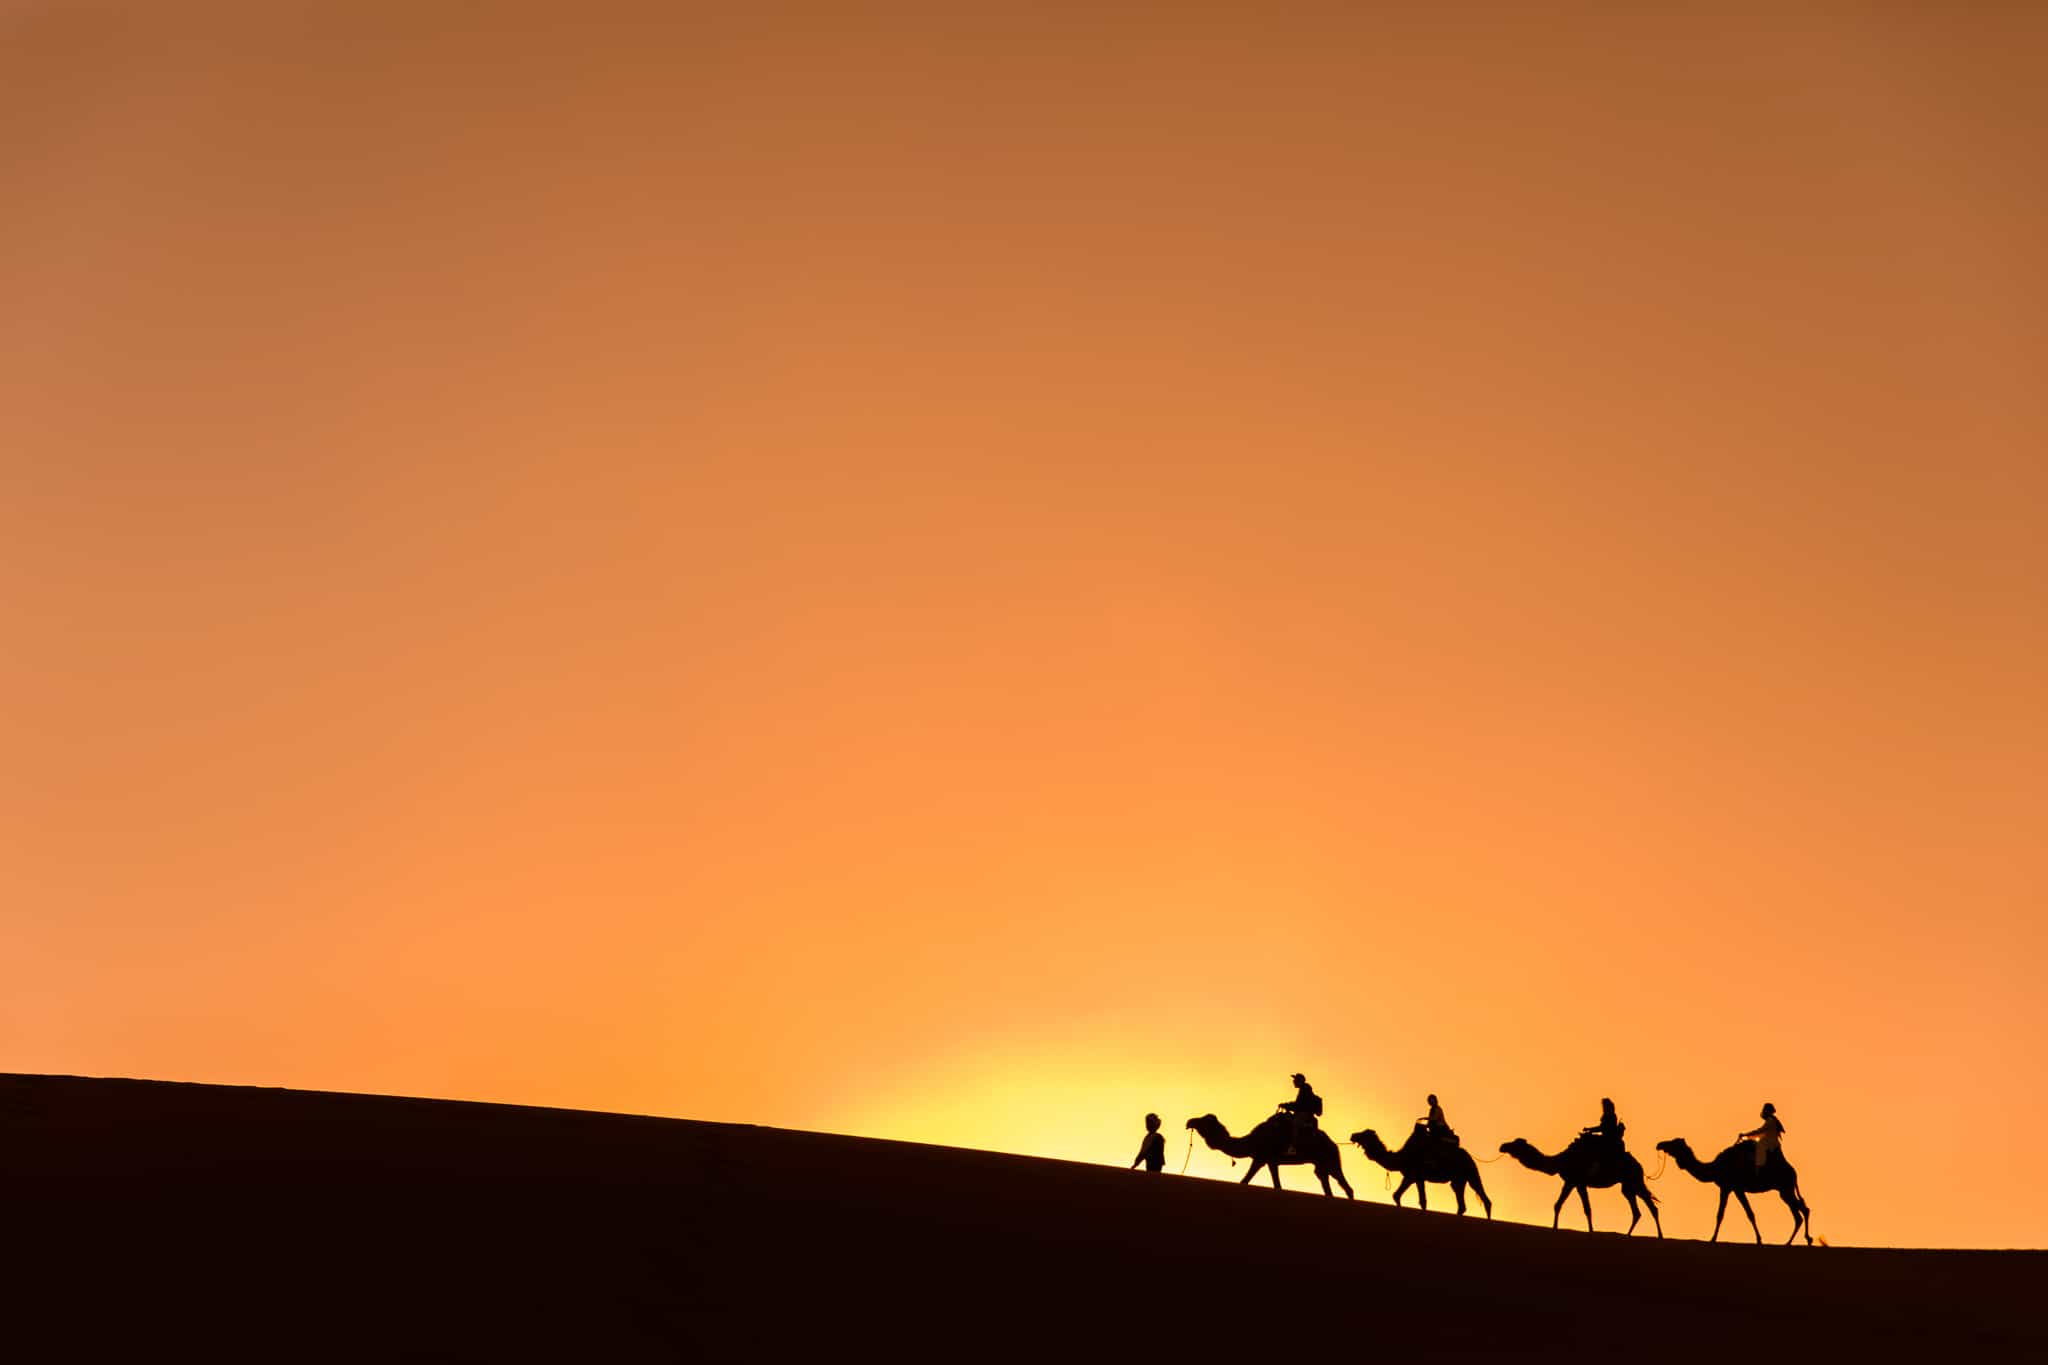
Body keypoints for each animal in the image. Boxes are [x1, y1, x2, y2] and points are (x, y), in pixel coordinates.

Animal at [1196, 1113, 1351, 1203]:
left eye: (1204, 1121)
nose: (1191, 1121)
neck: (1253, 1140)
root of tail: (1334, 1145)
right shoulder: (1271, 1161)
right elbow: (1277, 1186)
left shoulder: (1260, 1158)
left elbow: (1245, 1181)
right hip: (1320, 1166)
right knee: (1327, 1186)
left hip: (1330, 1160)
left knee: (1345, 1185)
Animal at [1351, 1129, 1499, 1219]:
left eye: (1365, 1134)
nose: (1353, 1135)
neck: (1402, 1157)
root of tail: (1469, 1157)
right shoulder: (1412, 1177)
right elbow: (1397, 1195)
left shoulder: (1415, 1175)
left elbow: (1421, 1201)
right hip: (1458, 1179)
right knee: (1461, 1203)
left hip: (1470, 1172)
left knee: (1484, 1198)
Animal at [1507, 1129, 1662, 1236]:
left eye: (1516, 1144)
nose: (1503, 1146)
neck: (1560, 1160)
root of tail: (1639, 1166)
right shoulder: (1571, 1182)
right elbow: (1558, 1204)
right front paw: (1555, 1227)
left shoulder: (1578, 1182)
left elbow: (1587, 1208)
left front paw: (1591, 1231)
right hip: (1627, 1185)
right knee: (1637, 1211)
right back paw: (1628, 1235)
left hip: (1634, 1180)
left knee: (1651, 1207)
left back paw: (1660, 1236)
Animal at [1654, 1137, 1818, 1244]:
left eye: (1674, 1143)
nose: (1659, 1144)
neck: (1715, 1167)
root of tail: (1793, 1171)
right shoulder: (1731, 1188)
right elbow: (1736, 1213)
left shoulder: (1731, 1187)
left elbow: (1732, 1214)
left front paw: (1713, 1239)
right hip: (1784, 1190)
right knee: (1802, 1211)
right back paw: (1799, 1241)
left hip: (1785, 1188)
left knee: (1801, 1211)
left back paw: (1799, 1241)